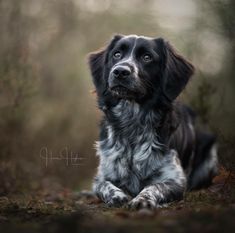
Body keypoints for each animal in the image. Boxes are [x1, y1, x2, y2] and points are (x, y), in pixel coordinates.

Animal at [87, 34, 218, 209]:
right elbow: (104, 185)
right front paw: (117, 195)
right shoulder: (102, 175)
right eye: (117, 54)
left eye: (147, 57)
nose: (120, 71)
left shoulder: (176, 180)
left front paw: (142, 199)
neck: (132, 122)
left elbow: (155, 186)